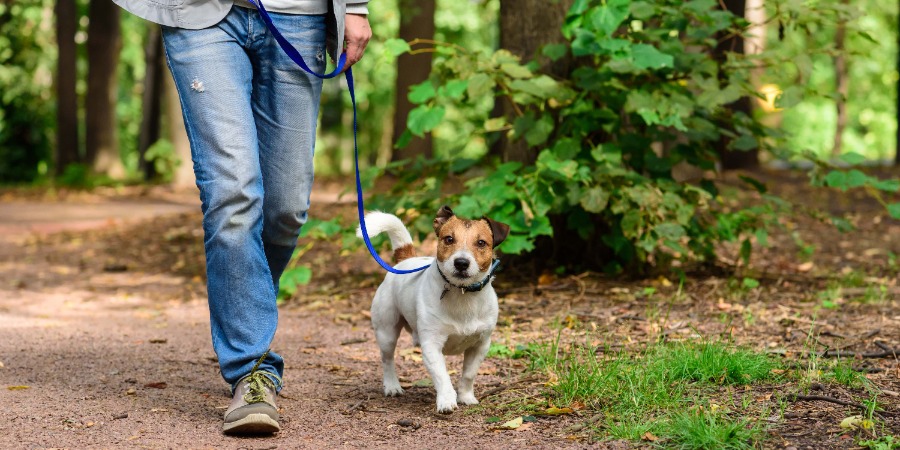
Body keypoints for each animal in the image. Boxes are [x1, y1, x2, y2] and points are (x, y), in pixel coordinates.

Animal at [358, 206, 512, 414]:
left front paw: (466, 397)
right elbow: (442, 377)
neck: (462, 294)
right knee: (387, 360)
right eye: (449, 239)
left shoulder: (480, 345)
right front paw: (446, 401)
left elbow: (468, 375)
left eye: (481, 242)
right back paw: (392, 386)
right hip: (386, 332)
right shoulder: (432, 345)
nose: (461, 262)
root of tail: (406, 259)